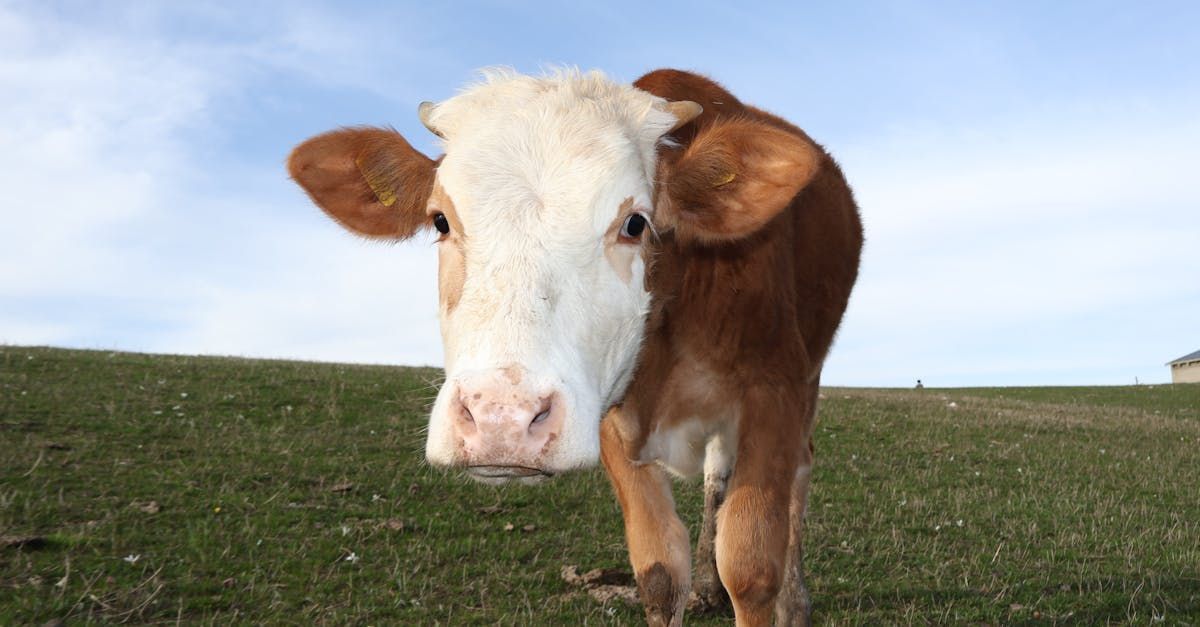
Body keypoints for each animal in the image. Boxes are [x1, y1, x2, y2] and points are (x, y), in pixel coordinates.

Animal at [290, 68, 864, 624]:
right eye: (440, 220)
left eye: (635, 223)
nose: (501, 419)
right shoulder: (610, 415)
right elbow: (660, 573)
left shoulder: (775, 391)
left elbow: (750, 566)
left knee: (798, 472)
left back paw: (795, 601)